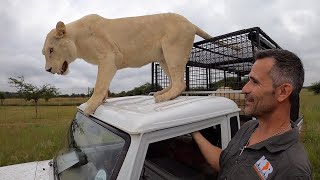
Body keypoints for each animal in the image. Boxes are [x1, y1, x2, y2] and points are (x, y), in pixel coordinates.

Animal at [42, 12, 232, 114]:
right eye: (44, 53)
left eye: (51, 50)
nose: (48, 70)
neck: (77, 39)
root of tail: (191, 22)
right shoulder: (107, 63)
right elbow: (105, 85)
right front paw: (102, 101)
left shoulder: (108, 58)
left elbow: (99, 85)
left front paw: (90, 106)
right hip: (163, 57)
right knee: (174, 81)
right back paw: (161, 93)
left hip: (173, 50)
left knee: (180, 83)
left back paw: (162, 98)